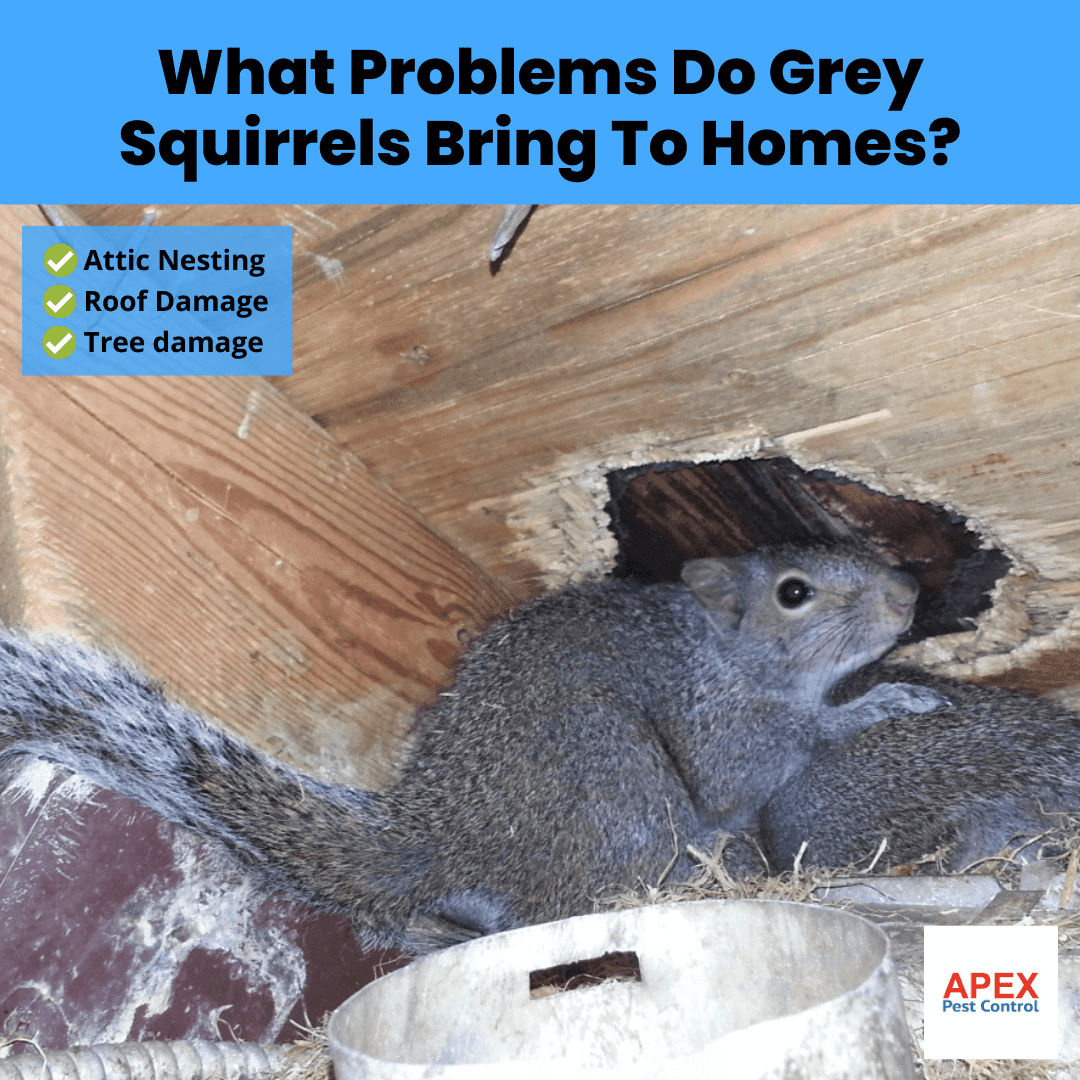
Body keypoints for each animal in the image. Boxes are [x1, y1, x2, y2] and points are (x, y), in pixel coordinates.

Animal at [0, 542, 946, 954]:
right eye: (795, 593)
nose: (907, 592)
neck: (722, 650)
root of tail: (447, 834)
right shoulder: (719, 723)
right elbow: (758, 763)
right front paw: (880, 701)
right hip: (624, 798)